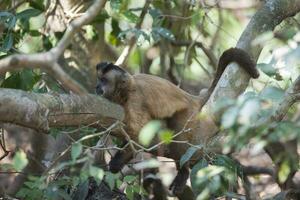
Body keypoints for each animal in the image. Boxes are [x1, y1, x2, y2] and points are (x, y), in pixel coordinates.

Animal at [95, 47, 258, 197]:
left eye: (104, 81)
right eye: (99, 80)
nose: (96, 87)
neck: (126, 91)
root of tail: (191, 97)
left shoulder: (135, 101)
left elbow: (138, 133)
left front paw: (117, 162)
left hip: (188, 115)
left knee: (178, 140)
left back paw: (183, 171)